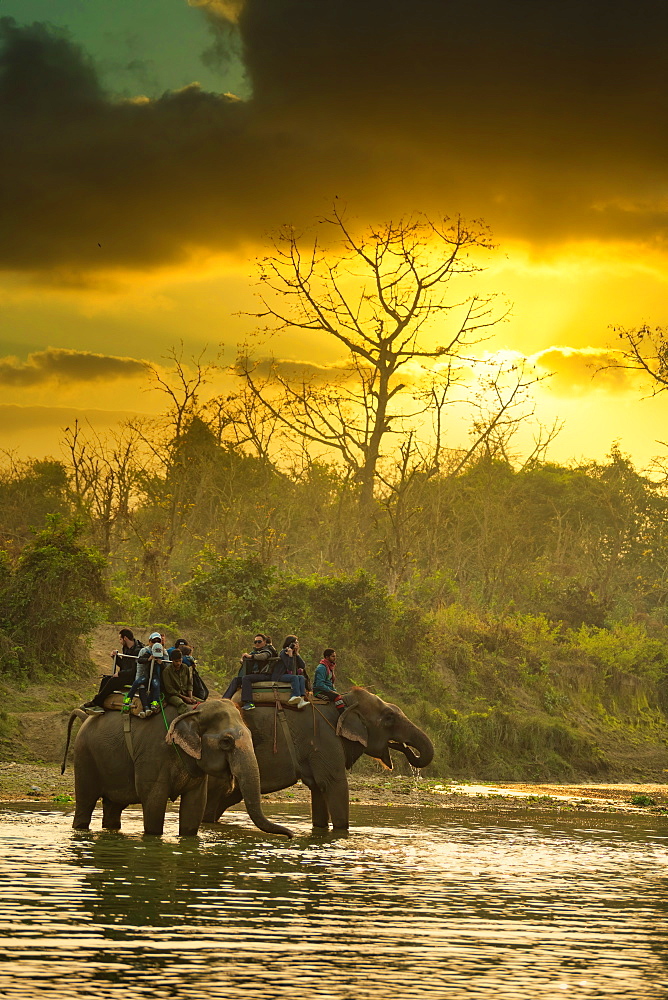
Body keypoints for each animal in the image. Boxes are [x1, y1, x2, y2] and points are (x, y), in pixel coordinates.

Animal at [62, 696, 292, 836]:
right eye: (226, 742)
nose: (291, 835)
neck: (193, 711)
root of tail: (86, 717)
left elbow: (194, 807)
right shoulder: (153, 754)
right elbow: (153, 802)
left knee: (113, 808)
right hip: (85, 757)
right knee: (85, 803)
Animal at [204, 684, 434, 832]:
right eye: (389, 718)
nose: (403, 746)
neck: (341, 702)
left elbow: (319, 789)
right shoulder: (324, 738)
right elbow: (334, 784)